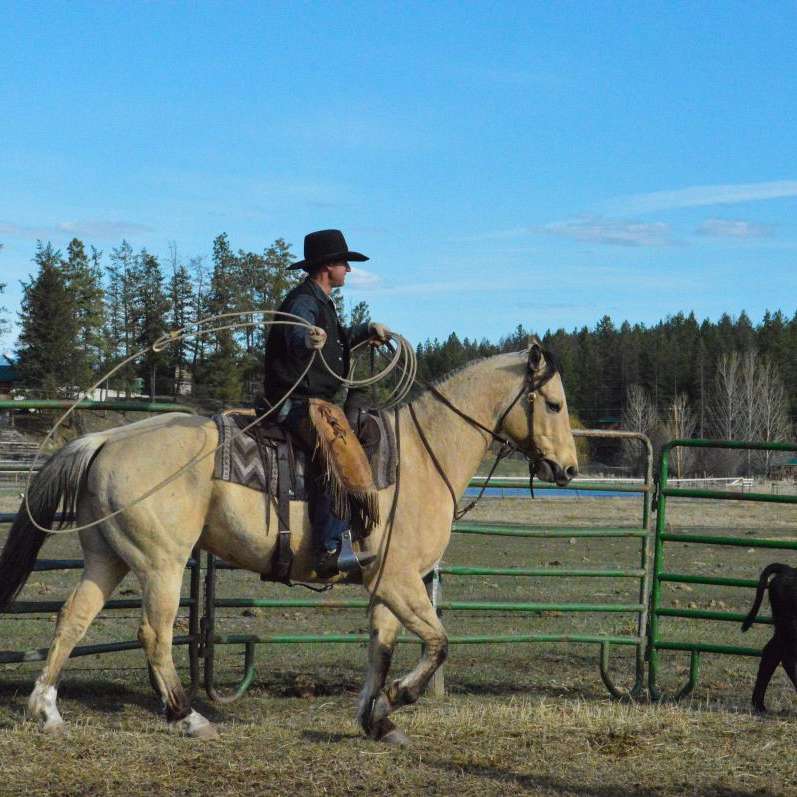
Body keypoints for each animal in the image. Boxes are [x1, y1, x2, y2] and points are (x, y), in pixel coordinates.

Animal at [0, 338, 576, 744]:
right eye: (552, 404)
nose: (568, 469)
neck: (420, 456)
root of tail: (105, 438)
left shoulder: (387, 584)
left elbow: (381, 648)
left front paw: (377, 719)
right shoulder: (400, 580)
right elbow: (437, 643)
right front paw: (400, 696)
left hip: (108, 558)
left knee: (73, 618)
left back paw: (47, 710)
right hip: (161, 563)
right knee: (154, 634)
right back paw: (188, 717)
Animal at [740, 564, 796, 712]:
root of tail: (789, 569)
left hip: (782, 630)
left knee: (771, 654)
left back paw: (759, 704)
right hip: (790, 629)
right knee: (786, 658)